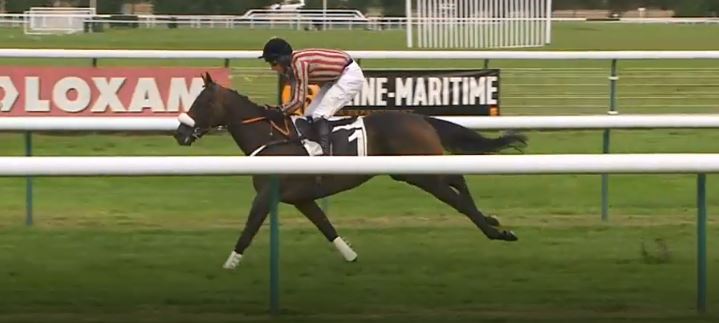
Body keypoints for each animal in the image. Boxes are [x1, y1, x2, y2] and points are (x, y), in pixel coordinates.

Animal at [172, 73, 524, 270]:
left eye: (202, 103)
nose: (180, 132)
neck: (271, 138)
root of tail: (419, 118)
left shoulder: (267, 194)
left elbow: (248, 229)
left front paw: (229, 264)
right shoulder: (300, 198)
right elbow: (325, 225)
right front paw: (350, 256)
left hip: (421, 173)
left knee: (457, 198)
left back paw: (497, 232)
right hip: (418, 169)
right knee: (458, 179)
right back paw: (492, 220)